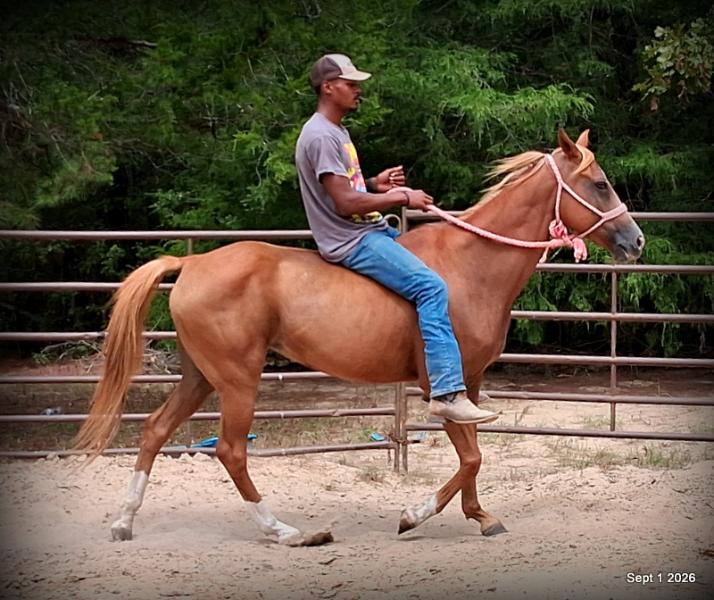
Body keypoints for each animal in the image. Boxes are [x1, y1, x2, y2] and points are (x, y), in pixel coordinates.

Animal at [74, 129, 644, 546]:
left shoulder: (471, 383)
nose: (636, 240)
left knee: (154, 430)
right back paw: (286, 531)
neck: (472, 265)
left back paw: (124, 522)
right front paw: (413, 515)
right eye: (599, 184)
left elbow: (474, 455)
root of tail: (191, 263)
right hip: (237, 379)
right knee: (231, 451)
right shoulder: (441, 387)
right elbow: (472, 457)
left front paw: (481, 516)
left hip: (200, 375)